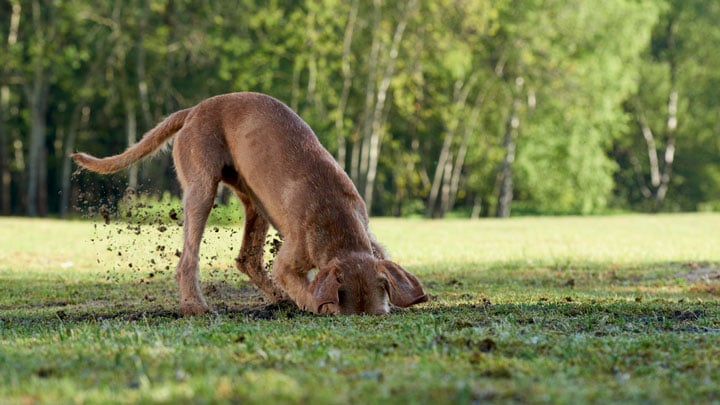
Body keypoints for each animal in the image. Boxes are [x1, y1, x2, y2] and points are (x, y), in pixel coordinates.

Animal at [71, 92, 428, 316]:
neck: (338, 223)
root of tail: (194, 110)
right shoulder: (289, 261)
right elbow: (306, 291)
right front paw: (314, 304)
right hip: (201, 188)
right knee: (188, 258)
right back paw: (195, 306)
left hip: (255, 202)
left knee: (247, 259)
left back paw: (276, 298)